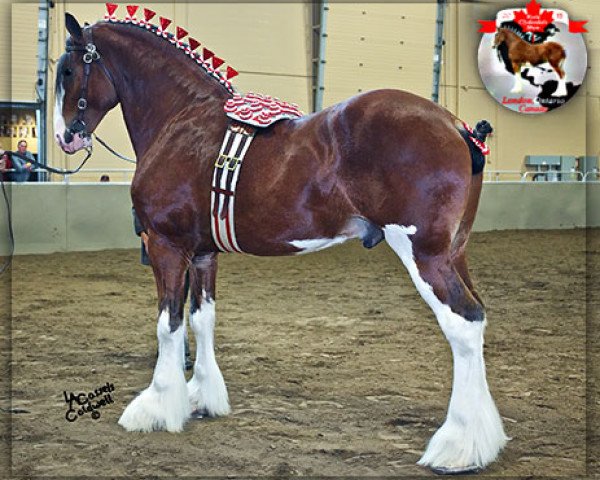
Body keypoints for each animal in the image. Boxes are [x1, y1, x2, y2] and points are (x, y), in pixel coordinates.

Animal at [55, 11, 506, 476]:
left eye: (67, 70)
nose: (66, 137)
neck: (182, 120)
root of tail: (456, 127)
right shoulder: (203, 254)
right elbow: (202, 319)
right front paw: (202, 397)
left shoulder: (166, 246)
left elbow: (169, 324)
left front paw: (157, 407)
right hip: (454, 252)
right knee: (477, 318)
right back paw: (482, 441)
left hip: (424, 254)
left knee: (464, 323)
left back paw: (457, 445)